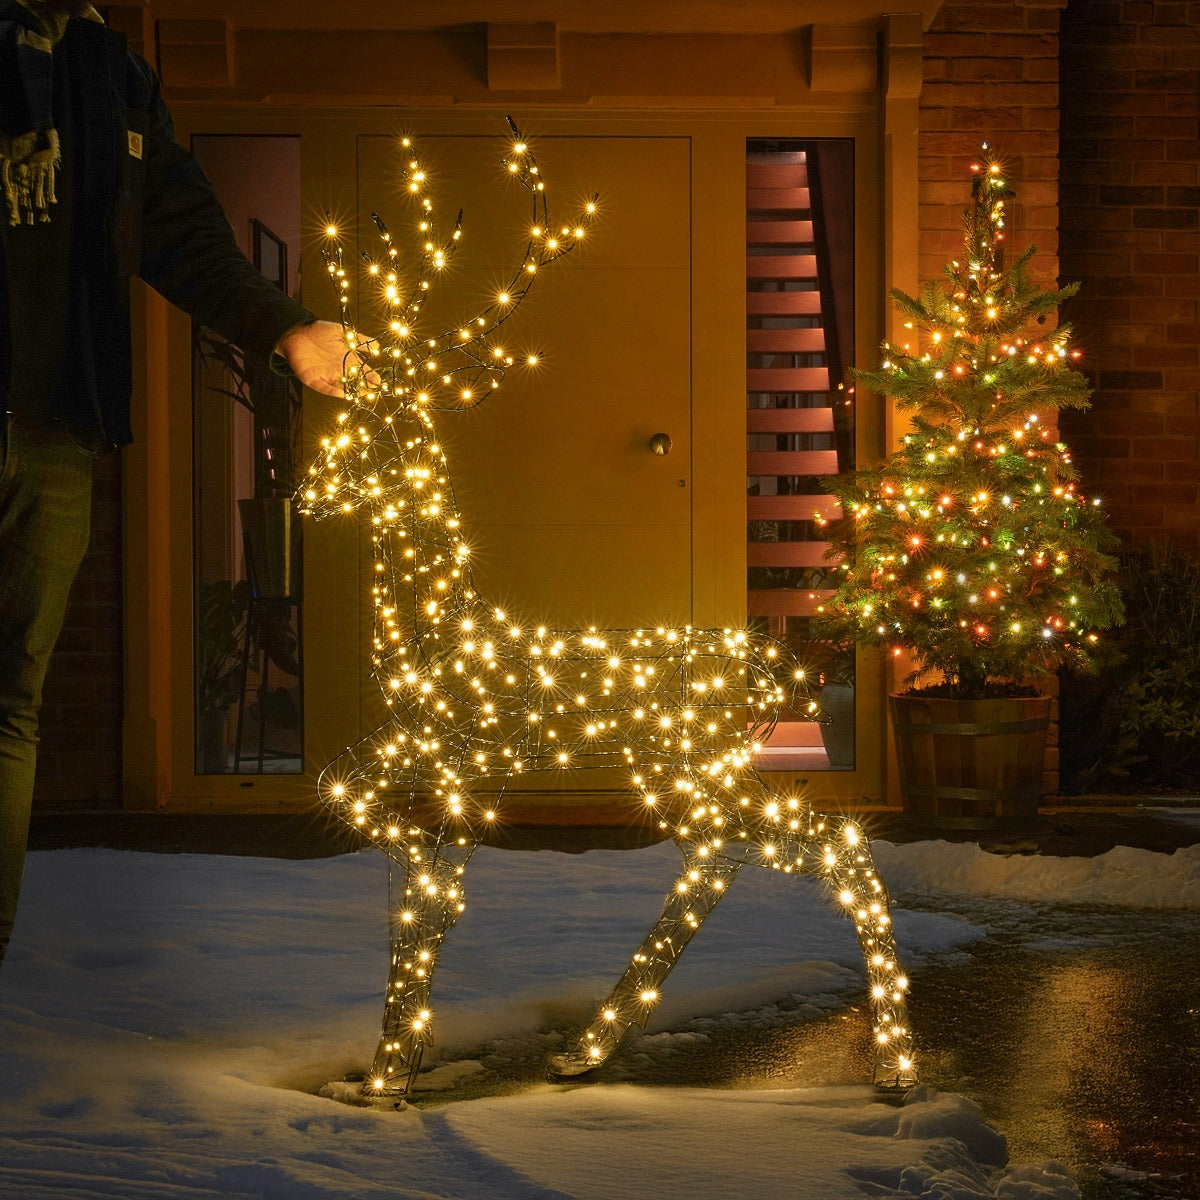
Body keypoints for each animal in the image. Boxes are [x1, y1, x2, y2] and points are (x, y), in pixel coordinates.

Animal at [298, 121, 916, 1104]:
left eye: (366, 441)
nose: (304, 495)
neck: (434, 637)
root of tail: (782, 666)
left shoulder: (460, 764)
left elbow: (421, 888)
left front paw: (388, 1076)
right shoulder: (434, 766)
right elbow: (385, 851)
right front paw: (397, 1060)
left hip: (697, 767)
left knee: (836, 849)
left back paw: (896, 1066)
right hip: (690, 777)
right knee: (721, 860)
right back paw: (585, 1047)